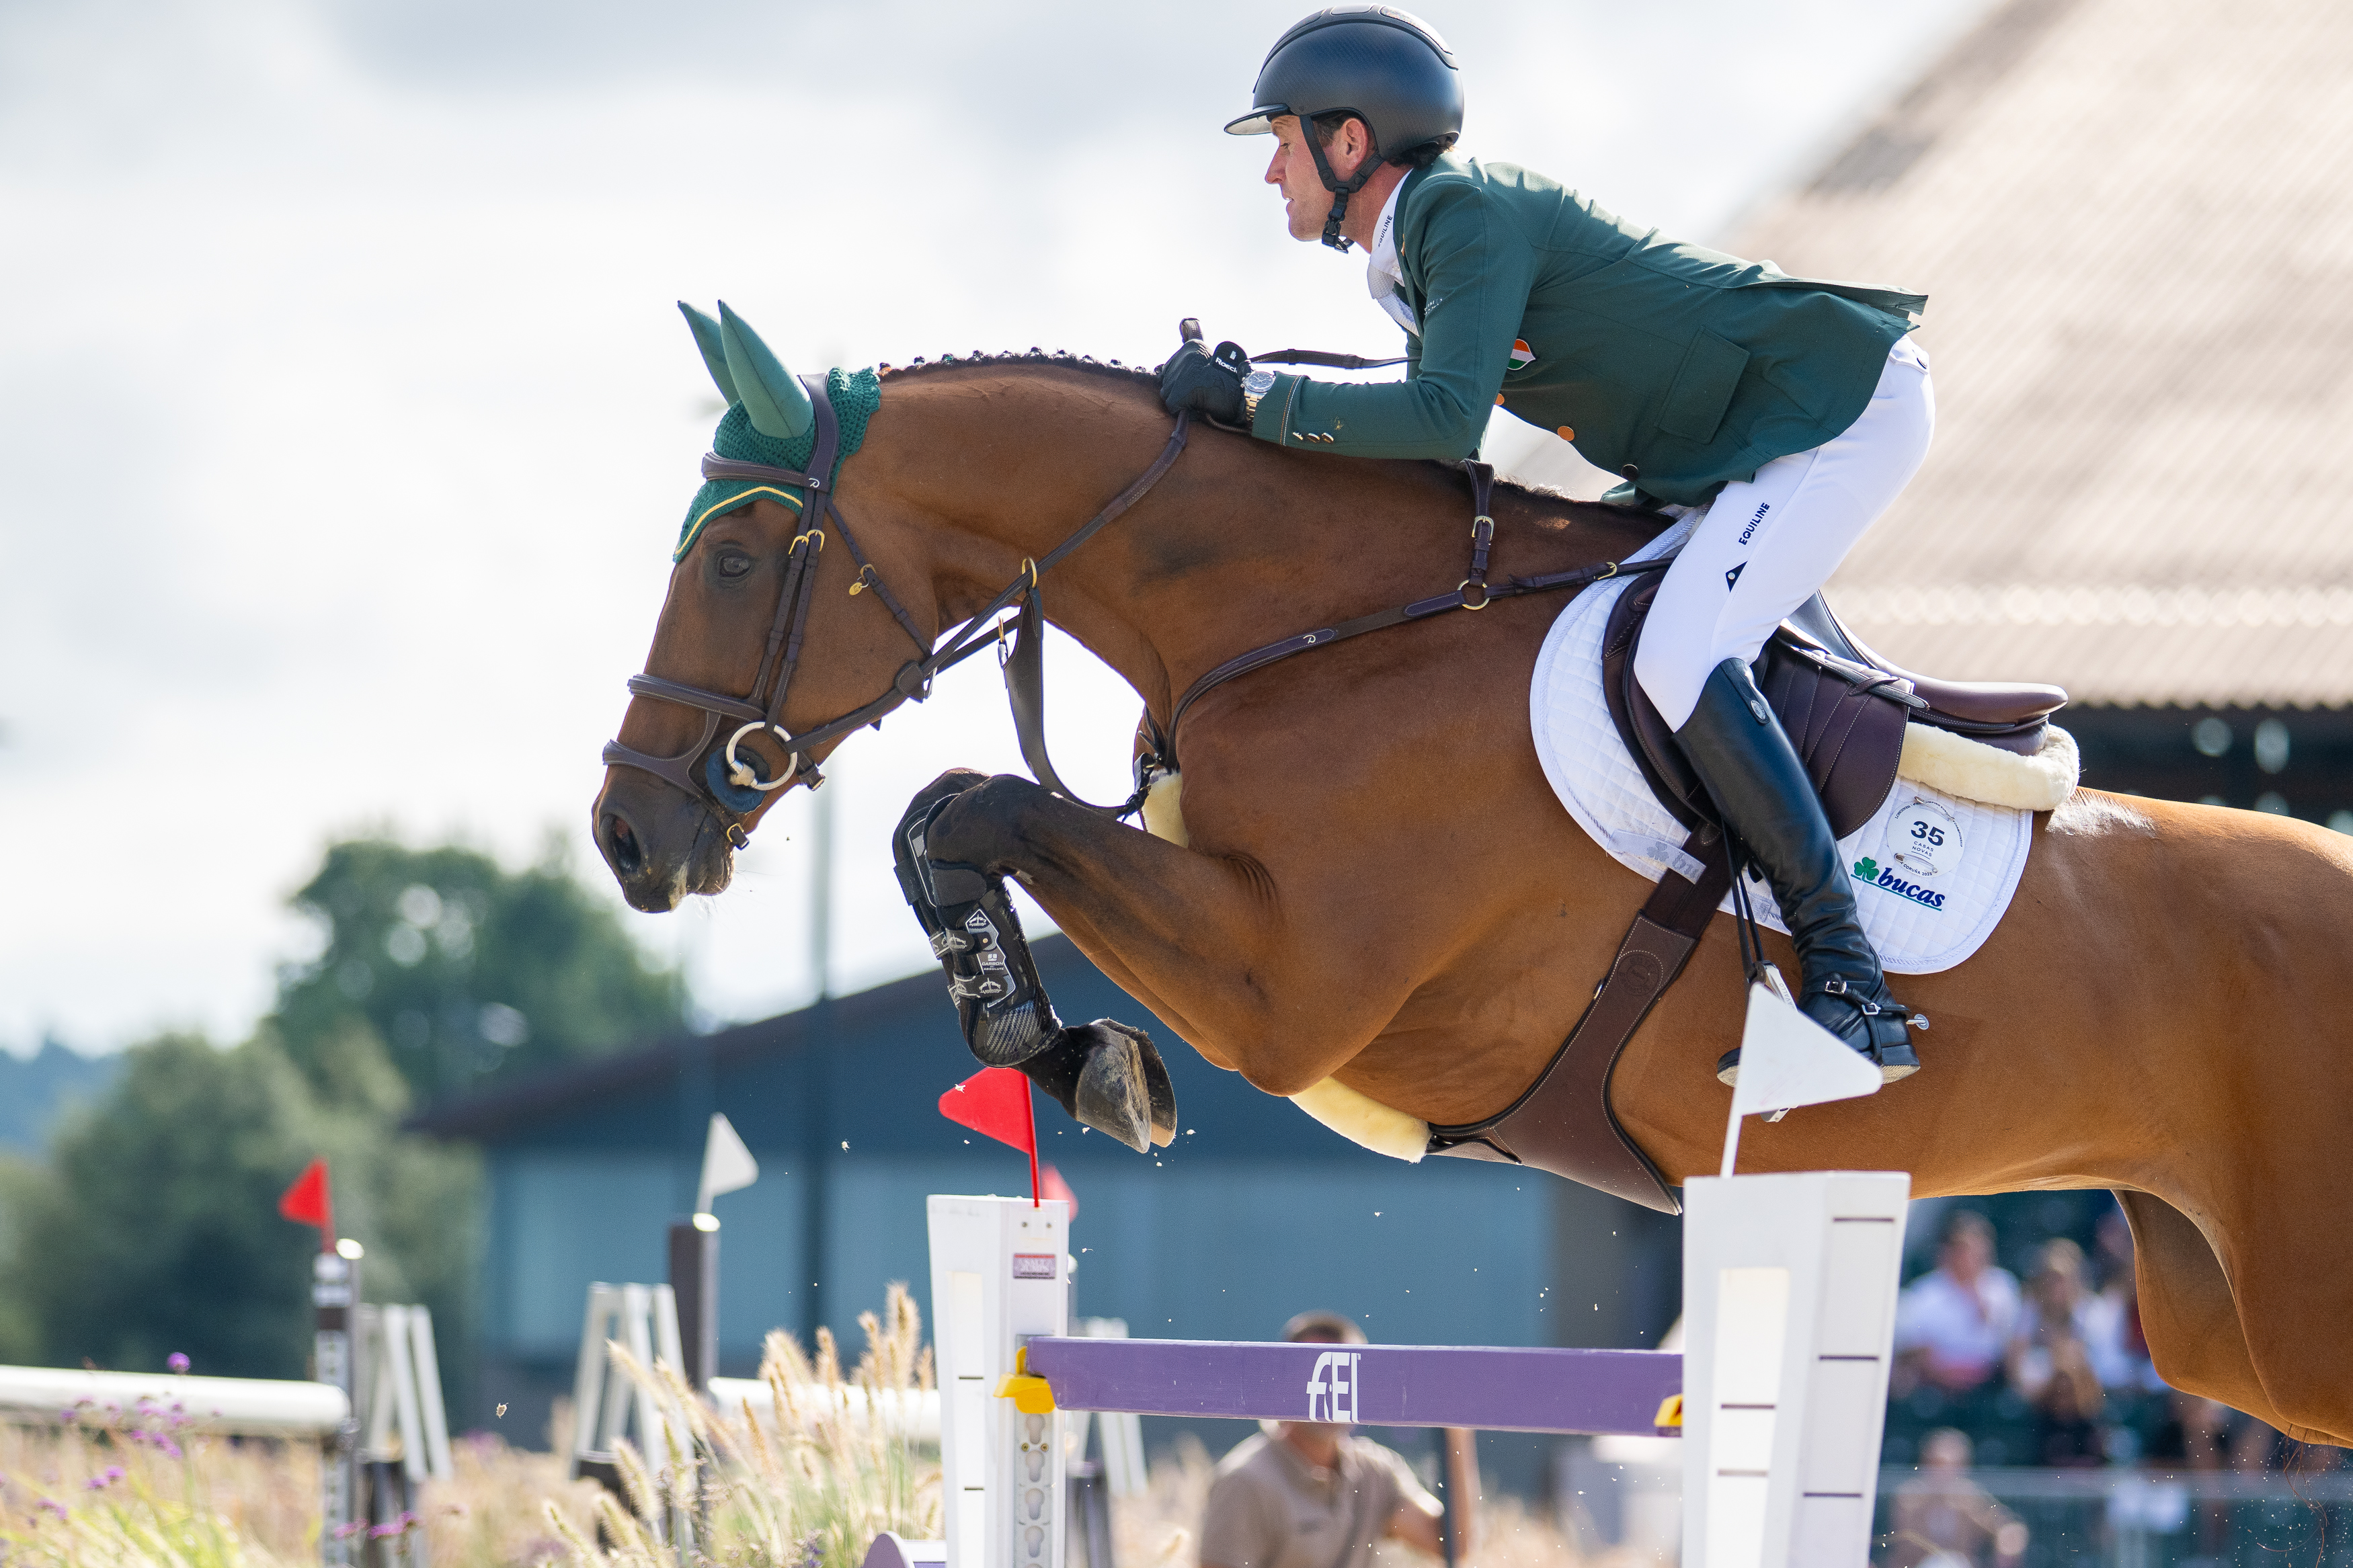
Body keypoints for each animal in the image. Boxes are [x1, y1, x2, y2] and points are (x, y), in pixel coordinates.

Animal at [591, 333, 2353, 1448]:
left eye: (736, 559)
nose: (624, 833)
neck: (1319, 630)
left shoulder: (1287, 993)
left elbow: (981, 803)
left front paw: (1080, 1056)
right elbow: (949, 815)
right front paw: (1060, 1047)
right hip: (2227, 1321)